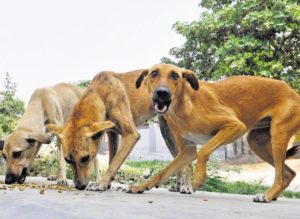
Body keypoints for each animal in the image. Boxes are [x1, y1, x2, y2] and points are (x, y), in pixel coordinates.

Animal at [127, 62, 300, 203]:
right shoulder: (186, 152)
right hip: (257, 143)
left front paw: (198, 178)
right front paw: (140, 186)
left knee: (281, 176)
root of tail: (293, 92)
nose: (162, 93)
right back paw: (274, 195)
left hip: (278, 134)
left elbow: (204, 150)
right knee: (289, 173)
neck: (184, 106)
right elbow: (163, 172)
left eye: (175, 75)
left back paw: (267, 195)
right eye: (153, 73)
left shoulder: (235, 126)